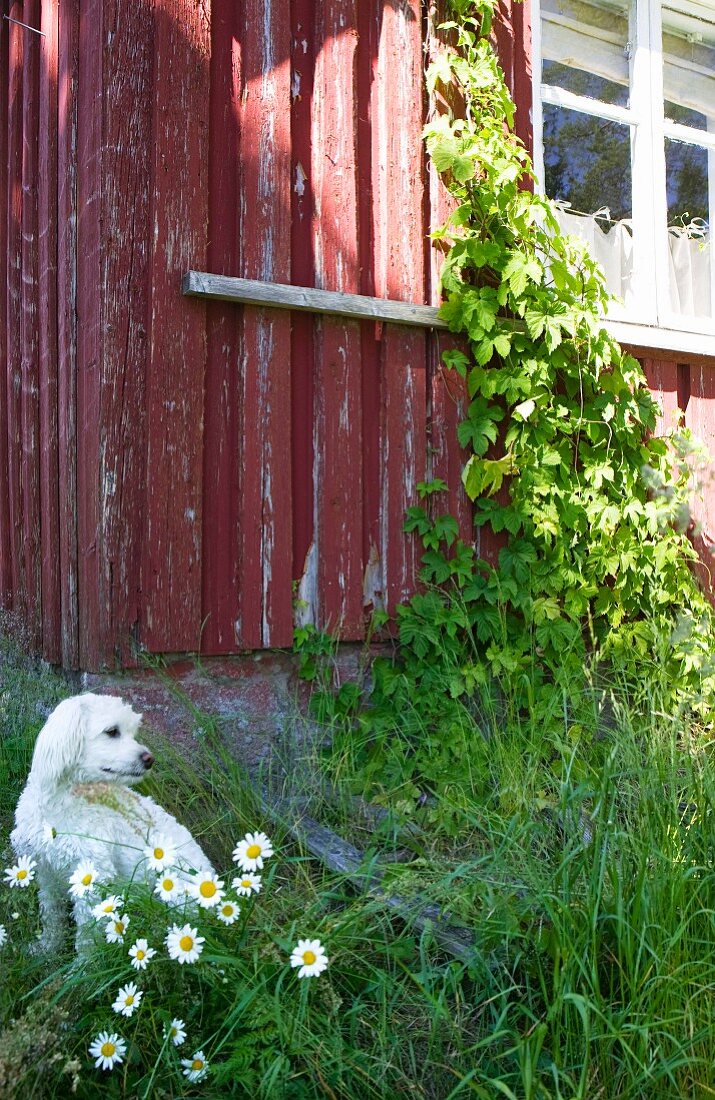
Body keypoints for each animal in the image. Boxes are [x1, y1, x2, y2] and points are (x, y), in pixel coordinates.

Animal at [11, 690, 211, 950]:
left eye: (133, 732)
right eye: (112, 731)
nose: (149, 759)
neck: (62, 802)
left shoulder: (91, 879)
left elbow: (87, 936)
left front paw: (81, 961)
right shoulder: (46, 871)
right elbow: (51, 913)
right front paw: (47, 948)